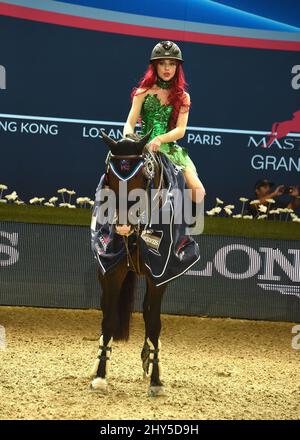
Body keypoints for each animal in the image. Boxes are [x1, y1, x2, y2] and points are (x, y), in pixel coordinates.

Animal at [90, 130, 168, 396]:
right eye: (109, 176)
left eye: (144, 175)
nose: (123, 225)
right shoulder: (111, 271)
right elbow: (108, 319)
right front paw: (100, 375)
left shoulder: (160, 275)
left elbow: (153, 322)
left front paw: (156, 380)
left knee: (147, 311)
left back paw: (148, 357)